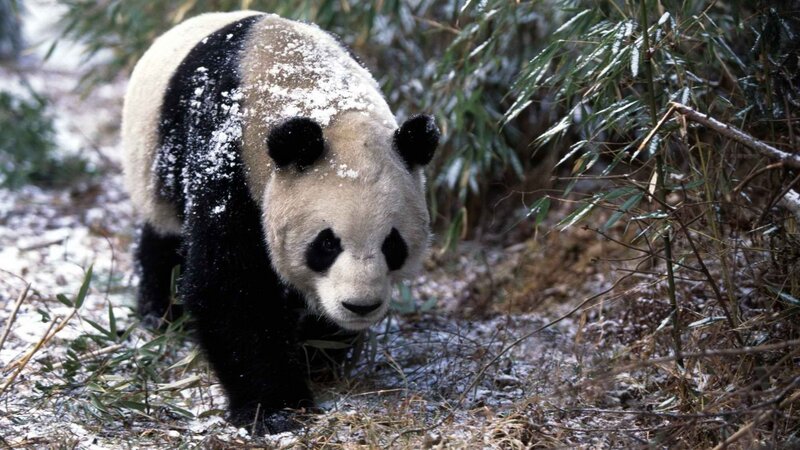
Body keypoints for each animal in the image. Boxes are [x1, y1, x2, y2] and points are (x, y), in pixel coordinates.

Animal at [121, 11, 439, 433]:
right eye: (326, 244)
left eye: (393, 244)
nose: (360, 305)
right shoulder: (226, 155)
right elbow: (230, 286)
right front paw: (276, 407)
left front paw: (317, 355)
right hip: (155, 164)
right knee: (165, 237)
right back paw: (162, 313)